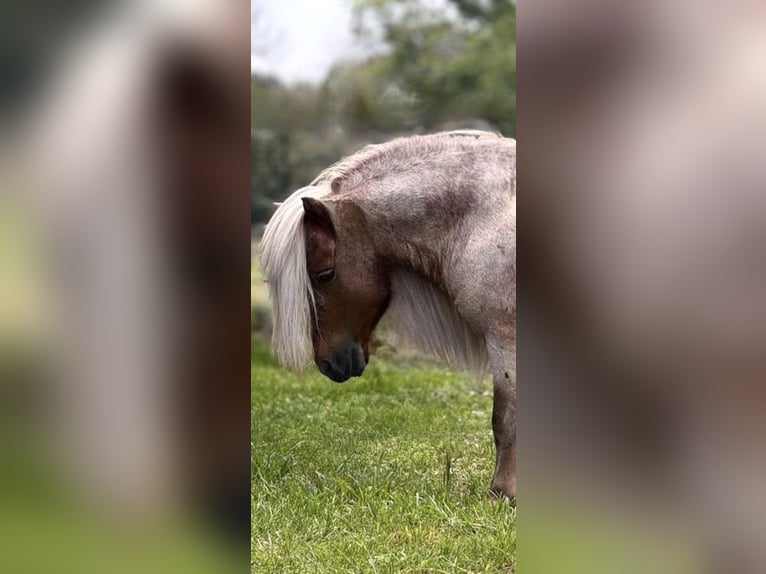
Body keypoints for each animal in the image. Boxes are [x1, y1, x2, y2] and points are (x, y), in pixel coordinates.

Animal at [260, 130, 520, 500]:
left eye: (324, 275)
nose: (329, 364)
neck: (485, 215)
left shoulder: (504, 336)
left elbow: (505, 419)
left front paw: (502, 494)